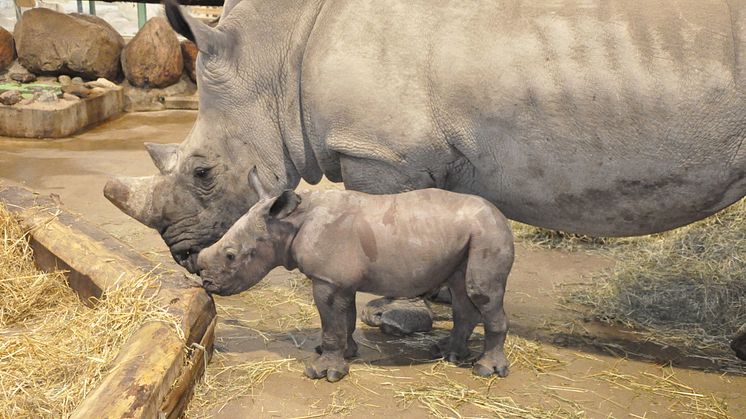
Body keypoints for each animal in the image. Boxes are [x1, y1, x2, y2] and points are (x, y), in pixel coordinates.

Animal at [195, 170, 516, 380]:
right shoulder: (338, 280)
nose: (206, 282)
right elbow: (344, 320)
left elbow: (332, 324)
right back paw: (449, 353)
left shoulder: (328, 280)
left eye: (231, 256)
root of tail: (500, 215)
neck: (288, 224)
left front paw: (323, 372)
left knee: (481, 293)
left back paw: (485, 370)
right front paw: (345, 353)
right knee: (462, 291)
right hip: (470, 234)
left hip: (489, 232)